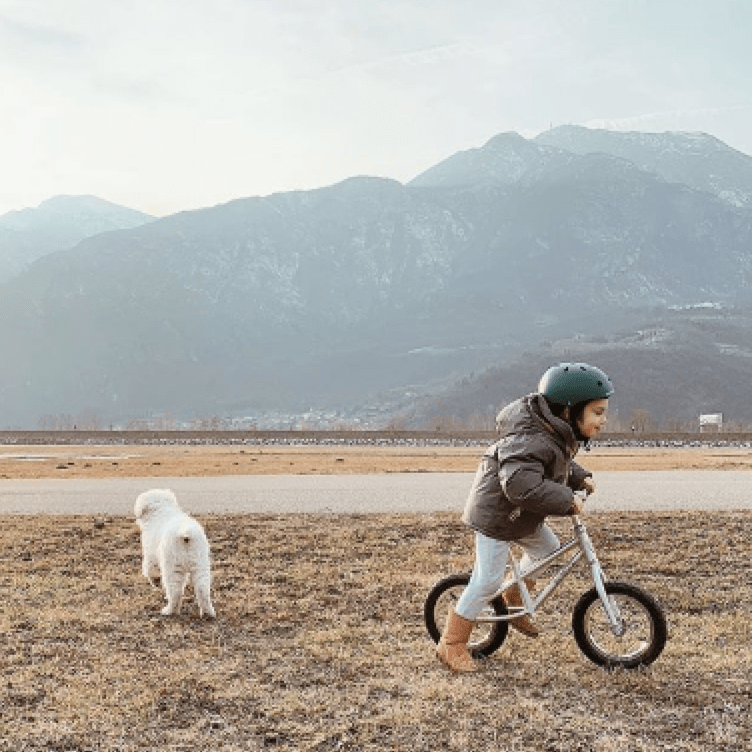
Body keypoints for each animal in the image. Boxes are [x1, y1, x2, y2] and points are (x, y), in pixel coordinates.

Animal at [134, 488, 216, 616]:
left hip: (172, 567)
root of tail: (185, 534)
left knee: (175, 592)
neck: (161, 509)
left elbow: (149, 569)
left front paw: (154, 583)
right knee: (203, 590)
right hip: (201, 565)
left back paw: (169, 610)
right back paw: (208, 612)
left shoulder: (150, 553)